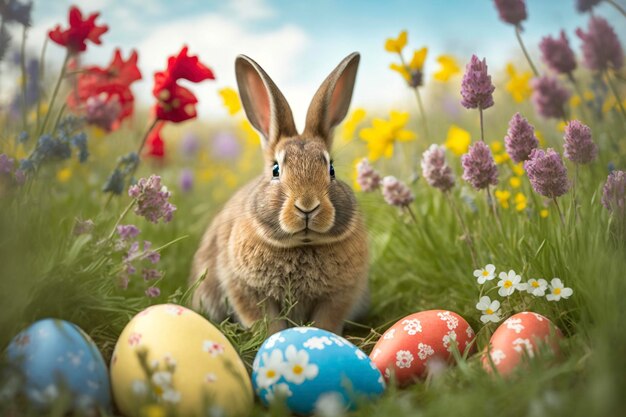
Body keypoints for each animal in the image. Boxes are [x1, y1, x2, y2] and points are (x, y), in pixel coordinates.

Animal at [188, 52, 368, 334]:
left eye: (331, 169)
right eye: (275, 169)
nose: (307, 205)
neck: (302, 244)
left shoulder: (339, 295)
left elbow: (326, 322)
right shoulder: (246, 290)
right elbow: (267, 323)